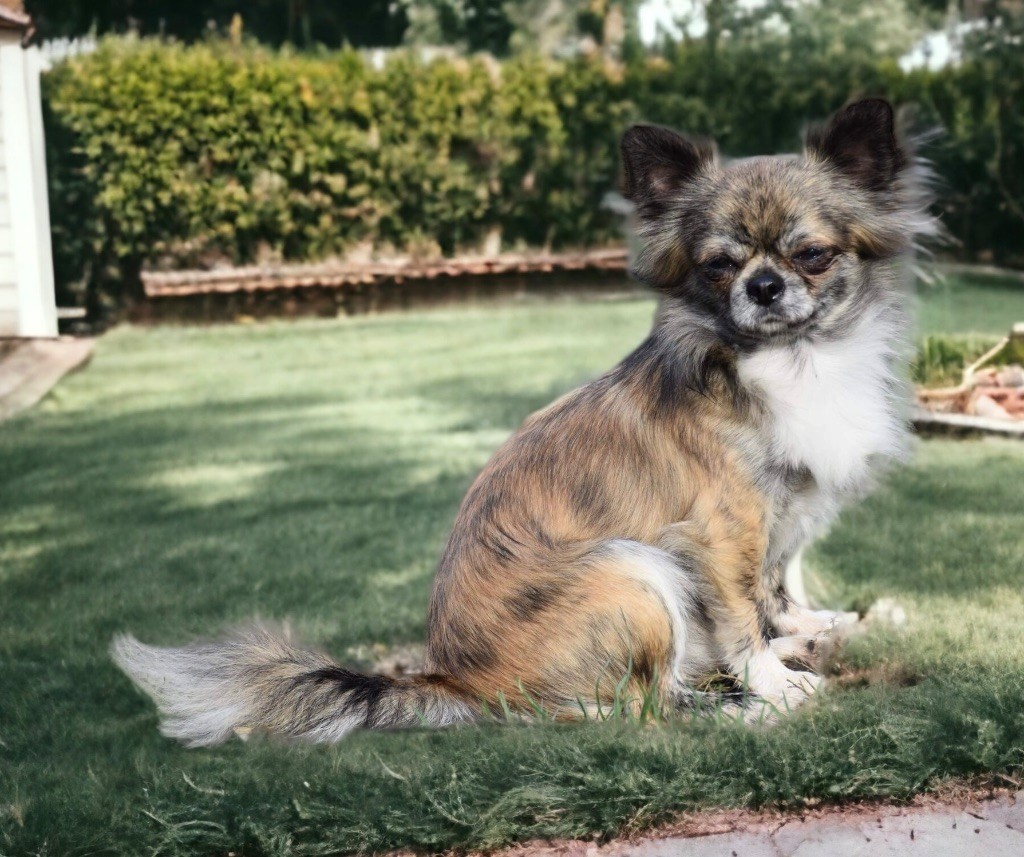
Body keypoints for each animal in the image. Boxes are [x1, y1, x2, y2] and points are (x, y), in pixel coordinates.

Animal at [112, 98, 937, 741]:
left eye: (813, 255)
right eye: (718, 266)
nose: (764, 286)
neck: (796, 360)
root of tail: (455, 681)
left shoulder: (783, 510)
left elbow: (777, 582)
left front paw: (815, 626)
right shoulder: (720, 526)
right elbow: (741, 613)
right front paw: (776, 680)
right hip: (630, 571)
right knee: (635, 708)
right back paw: (736, 709)